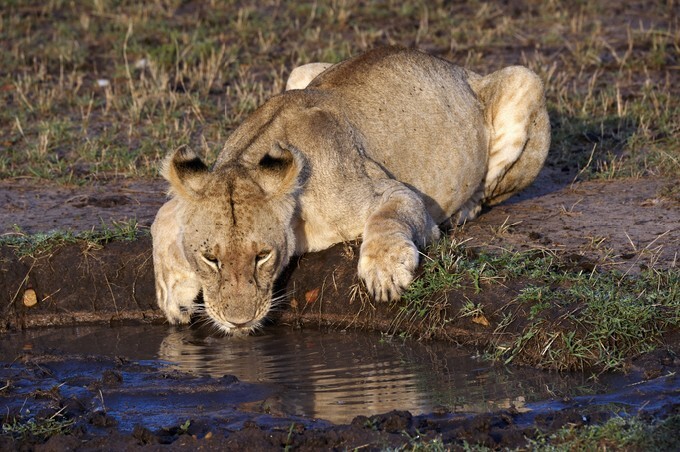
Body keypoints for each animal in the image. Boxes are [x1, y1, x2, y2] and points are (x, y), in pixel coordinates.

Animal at [151, 47, 550, 333]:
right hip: (301, 71)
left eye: (262, 256)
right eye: (211, 259)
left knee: (489, 190)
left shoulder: (397, 194)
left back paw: (464, 209)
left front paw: (385, 273)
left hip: (526, 78)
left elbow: (387, 218)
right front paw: (174, 293)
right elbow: (162, 216)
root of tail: (463, 70)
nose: (238, 321)